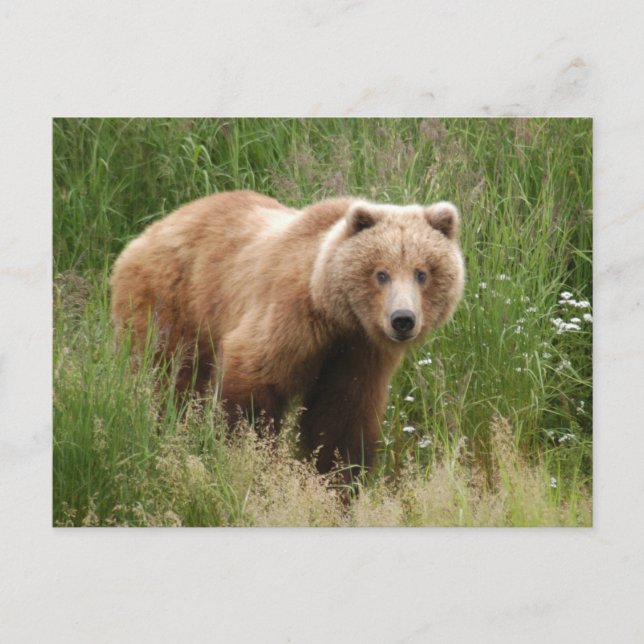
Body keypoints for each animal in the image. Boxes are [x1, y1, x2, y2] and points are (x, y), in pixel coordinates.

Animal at [110, 190, 464, 473]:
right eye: (381, 273)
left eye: (422, 273)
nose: (402, 319)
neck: (335, 313)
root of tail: (150, 230)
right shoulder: (289, 318)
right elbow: (250, 384)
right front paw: (249, 454)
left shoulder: (359, 353)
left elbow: (341, 420)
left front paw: (339, 479)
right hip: (173, 303)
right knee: (165, 377)